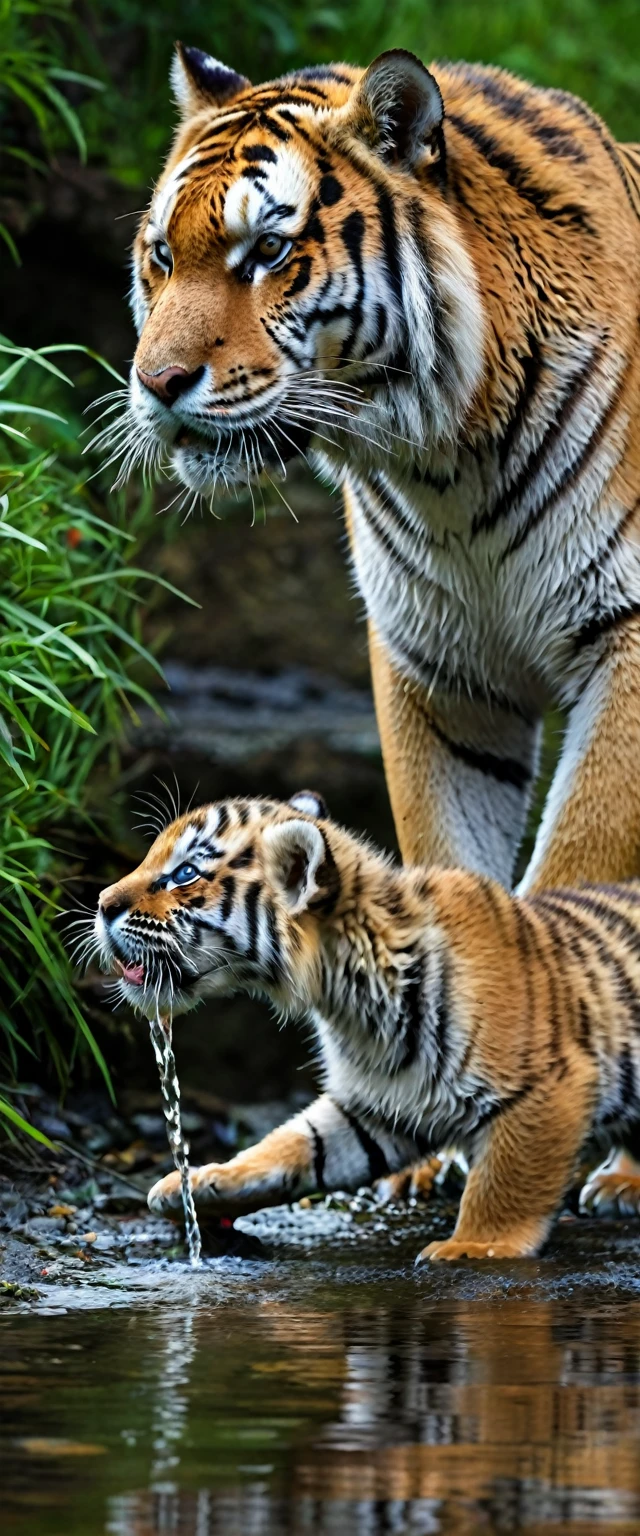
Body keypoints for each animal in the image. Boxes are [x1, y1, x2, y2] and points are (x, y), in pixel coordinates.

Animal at [117, 38, 638, 1210]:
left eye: (267, 251)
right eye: (161, 259)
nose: (157, 384)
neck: (448, 453)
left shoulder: (628, 634)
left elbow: (587, 861)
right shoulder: (436, 667)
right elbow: (449, 843)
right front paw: (436, 1140)